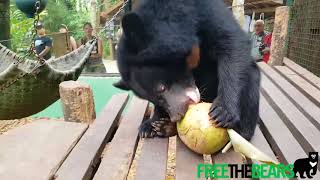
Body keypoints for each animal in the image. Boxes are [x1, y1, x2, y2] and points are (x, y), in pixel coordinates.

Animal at [114, 0, 262, 139]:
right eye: (156, 98)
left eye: (161, 88)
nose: (176, 117)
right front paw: (152, 124)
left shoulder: (208, 11)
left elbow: (232, 43)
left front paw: (222, 112)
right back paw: (163, 127)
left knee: (251, 79)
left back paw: (240, 131)